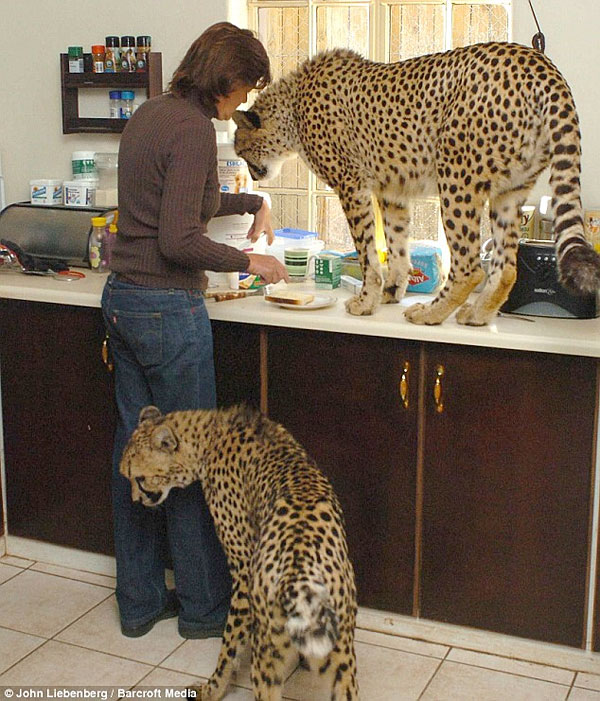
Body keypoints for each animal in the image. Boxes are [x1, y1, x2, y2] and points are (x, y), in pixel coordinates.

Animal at [120, 404, 359, 701]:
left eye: (140, 479)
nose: (135, 500)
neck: (209, 435)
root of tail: (299, 570)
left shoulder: (243, 569)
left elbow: (229, 648)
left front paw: (212, 689)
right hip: (343, 658)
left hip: (266, 655)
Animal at [233, 42, 600, 326]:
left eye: (241, 149)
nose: (254, 176)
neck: (292, 107)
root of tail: (536, 59)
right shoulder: (392, 192)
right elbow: (396, 247)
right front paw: (391, 292)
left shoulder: (352, 186)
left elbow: (368, 254)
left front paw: (366, 300)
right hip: (510, 191)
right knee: (507, 267)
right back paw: (478, 315)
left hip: (455, 177)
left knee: (469, 267)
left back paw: (431, 313)